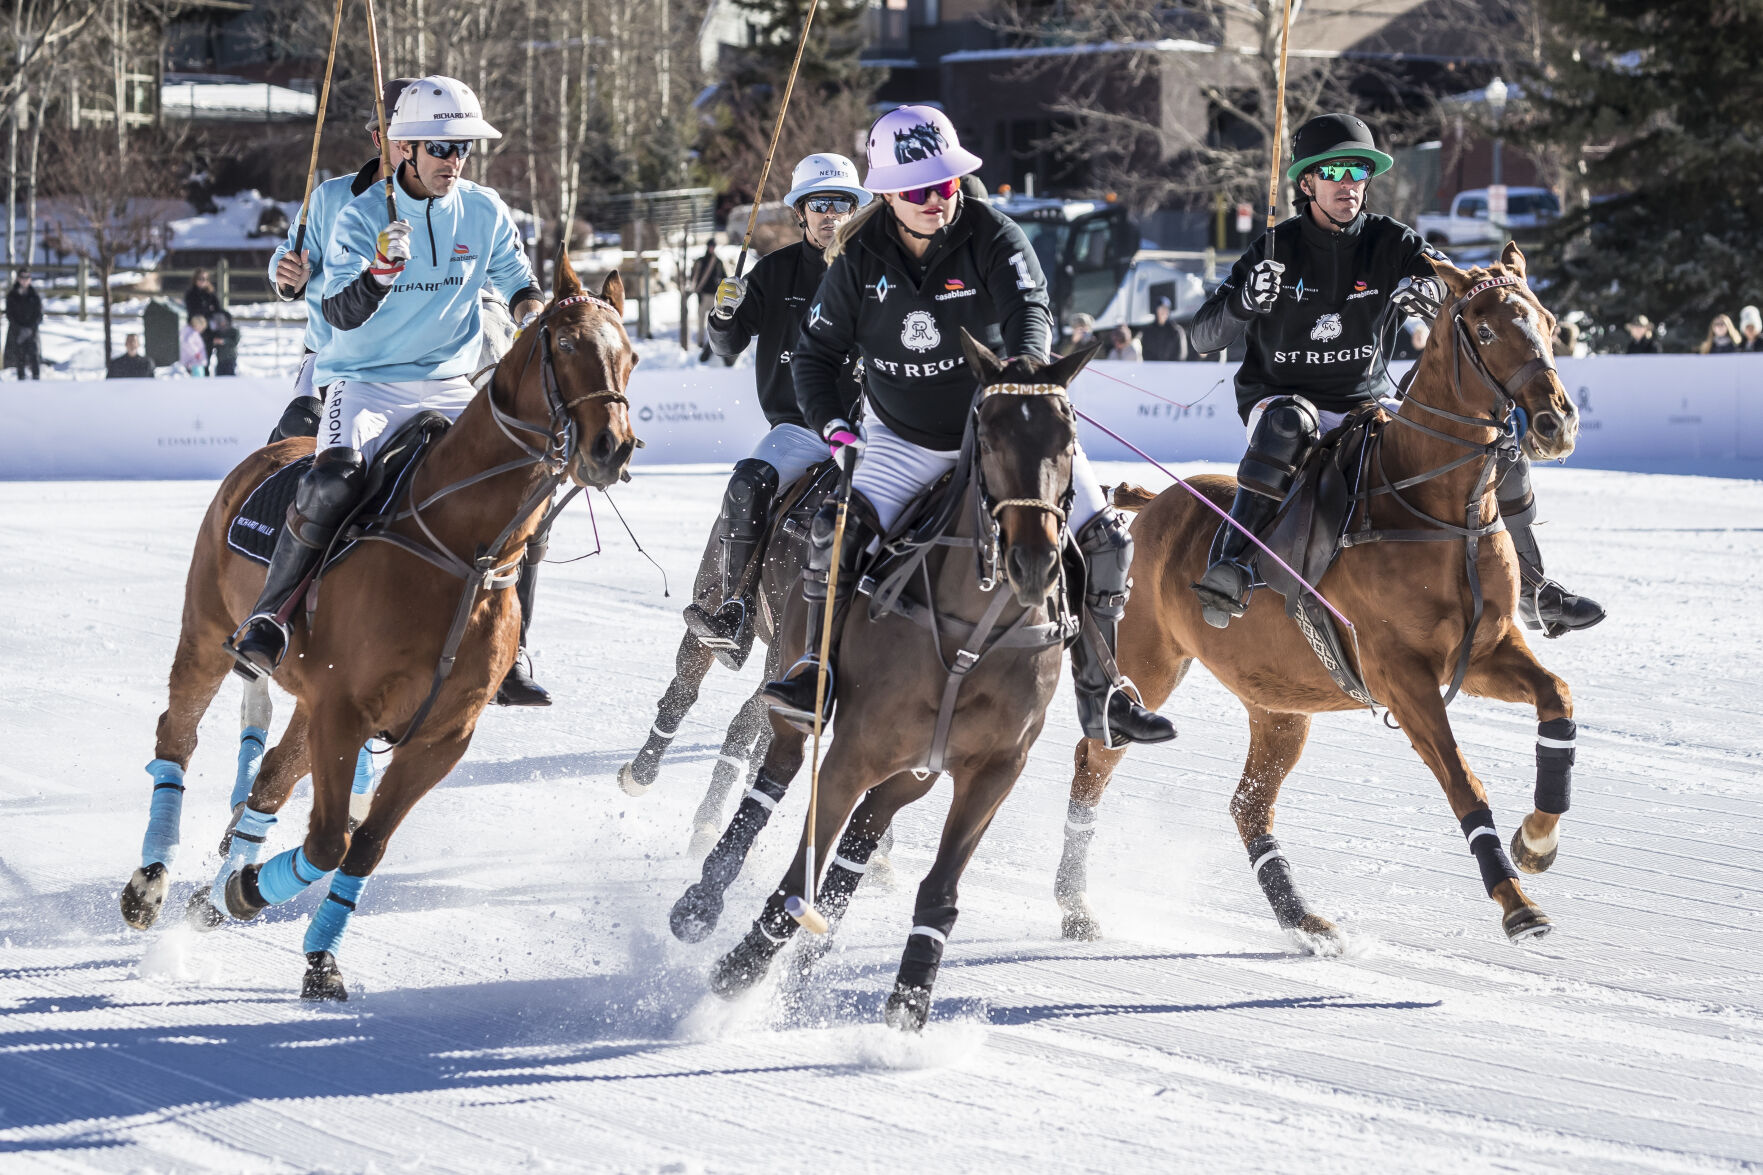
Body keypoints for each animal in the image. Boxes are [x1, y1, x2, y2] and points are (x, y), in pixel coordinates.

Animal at [120, 255, 638, 995]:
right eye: (566, 343)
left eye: (631, 355)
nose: (612, 447)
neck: (463, 550)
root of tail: (278, 446)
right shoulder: (345, 711)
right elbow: (327, 840)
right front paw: (240, 894)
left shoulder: (439, 736)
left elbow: (363, 845)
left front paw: (306, 949)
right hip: (207, 632)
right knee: (178, 735)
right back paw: (150, 883)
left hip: (306, 699)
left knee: (269, 777)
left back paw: (213, 886)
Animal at [708, 333, 1093, 1030]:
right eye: (988, 437)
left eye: (1068, 437)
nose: (1033, 562)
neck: (971, 634)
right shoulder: (853, 752)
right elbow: (800, 869)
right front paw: (741, 964)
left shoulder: (994, 769)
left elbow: (938, 889)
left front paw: (910, 1000)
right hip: (797, 688)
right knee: (774, 775)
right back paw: (700, 903)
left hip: (914, 770)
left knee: (861, 839)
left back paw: (803, 972)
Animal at [1050, 241, 1579, 945]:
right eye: (1487, 329)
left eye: (1548, 321)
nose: (1554, 422)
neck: (1432, 507)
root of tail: (1153, 501)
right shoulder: (1401, 675)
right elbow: (1463, 782)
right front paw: (1518, 905)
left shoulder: (1484, 651)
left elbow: (1558, 699)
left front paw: (1536, 843)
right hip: (1148, 663)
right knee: (1093, 761)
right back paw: (1075, 907)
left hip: (1279, 706)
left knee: (1247, 804)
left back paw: (1301, 917)